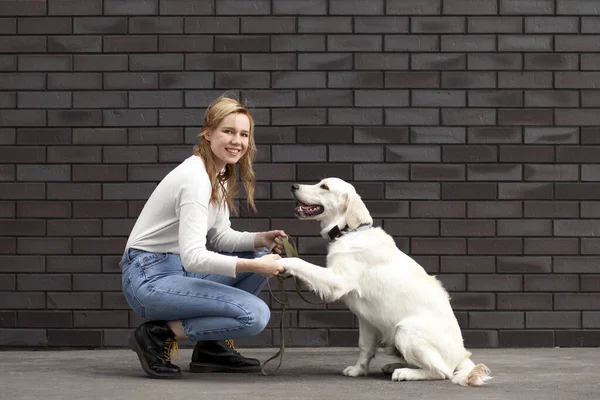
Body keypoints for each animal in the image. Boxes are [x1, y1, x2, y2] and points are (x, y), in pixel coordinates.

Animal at [278, 179, 490, 388]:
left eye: (324, 187)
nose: (294, 186)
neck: (350, 231)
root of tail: (462, 357)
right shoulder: (367, 319)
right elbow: (364, 346)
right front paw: (358, 370)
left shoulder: (337, 281)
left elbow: (300, 263)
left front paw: (281, 262)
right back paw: (394, 365)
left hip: (404, 331)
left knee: (442, 372)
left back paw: (404, 372)